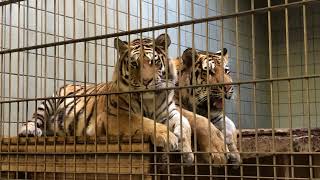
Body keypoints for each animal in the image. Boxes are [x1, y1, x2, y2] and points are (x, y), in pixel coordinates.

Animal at [17, 33, 229, 165]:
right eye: (134, 64)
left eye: (153, 62)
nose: (146, 81)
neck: (150, 99)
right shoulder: (116, 116)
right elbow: (144, 122)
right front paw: (168, 137)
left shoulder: (169, 111)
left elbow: (185, 124)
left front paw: (186, 150)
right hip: (49, 102)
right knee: (34, 118)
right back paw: (30, 131)